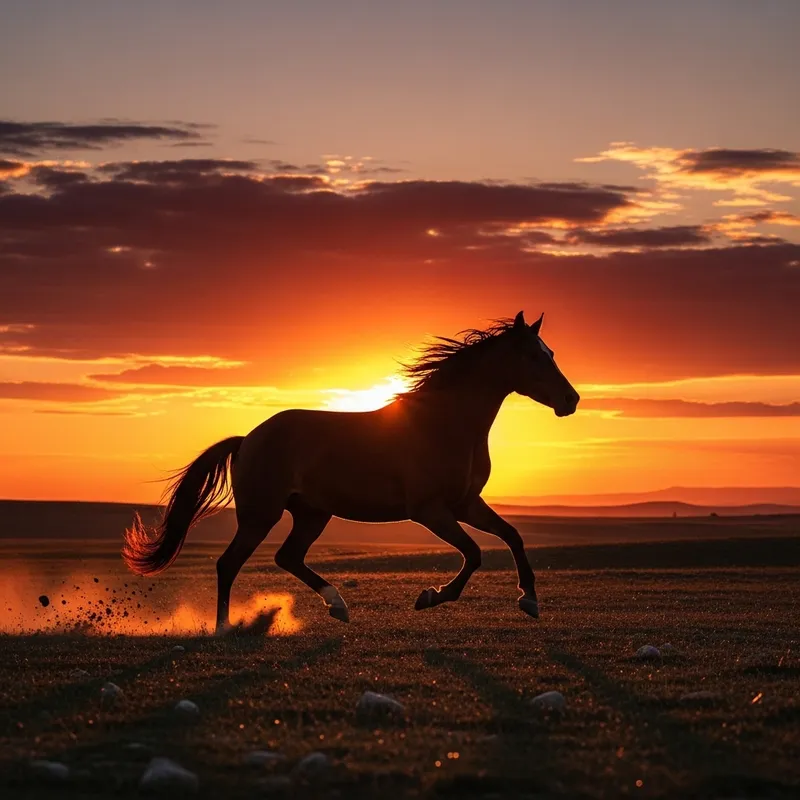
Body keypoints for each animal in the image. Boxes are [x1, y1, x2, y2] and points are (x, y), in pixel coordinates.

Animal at [122, 311, 580, 633]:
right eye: (534, 356)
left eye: (552, 354)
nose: (571, 400)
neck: (444, 424)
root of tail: (248, 438)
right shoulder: (430, 511)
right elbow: (474, 553)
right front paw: (430, 597)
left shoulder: (466, 504)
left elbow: (512, 536)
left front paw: (530, 600)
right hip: (260, 515)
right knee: (228, 564)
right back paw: (225, 628)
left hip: (312, 513)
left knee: (287, 556)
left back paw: (337, 605)